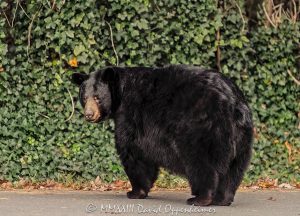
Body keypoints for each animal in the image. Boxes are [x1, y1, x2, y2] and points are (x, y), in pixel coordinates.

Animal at [71, 65, 252, 207]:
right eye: (84, 97)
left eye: (97, 98)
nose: (89, 115)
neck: (121, 92)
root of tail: (232, 103)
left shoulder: (131, 116)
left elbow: (133, 151)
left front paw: (135, 191)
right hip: (241, 137)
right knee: (234, 168)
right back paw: (223, 199)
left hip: (201, 128)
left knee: (201, 162)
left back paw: (199, 198)